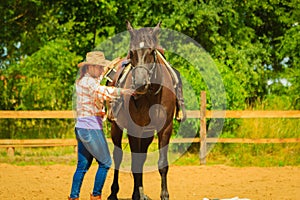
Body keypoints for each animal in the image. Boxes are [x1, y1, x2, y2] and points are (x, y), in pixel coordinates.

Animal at [107, 21, 176, 199]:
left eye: (152, 51)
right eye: (131, 52)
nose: (139, 83)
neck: (150, 96)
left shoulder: (165, 128)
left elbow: (162, 164)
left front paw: (164, 194)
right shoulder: (133, 129)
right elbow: (134, 163)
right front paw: (136, 195)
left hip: (147, 134)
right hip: (117, 127)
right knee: (118, 157)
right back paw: (114, 192)